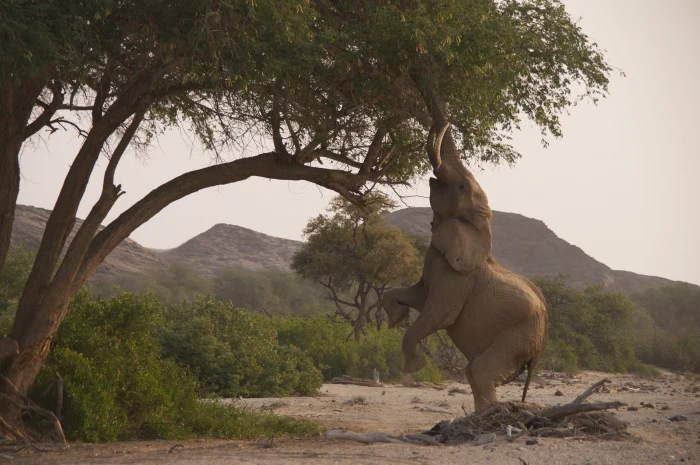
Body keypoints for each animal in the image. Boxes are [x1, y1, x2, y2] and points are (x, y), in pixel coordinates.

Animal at [382, 100, 548, 412]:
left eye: (461, 187)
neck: (480, 228)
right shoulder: (437, 258)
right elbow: (418, 297)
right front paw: (397, 317)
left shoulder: (458, 277)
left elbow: (438, 313)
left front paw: (414, 367)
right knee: (474, 372)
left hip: (521, 335)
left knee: (481, 371)